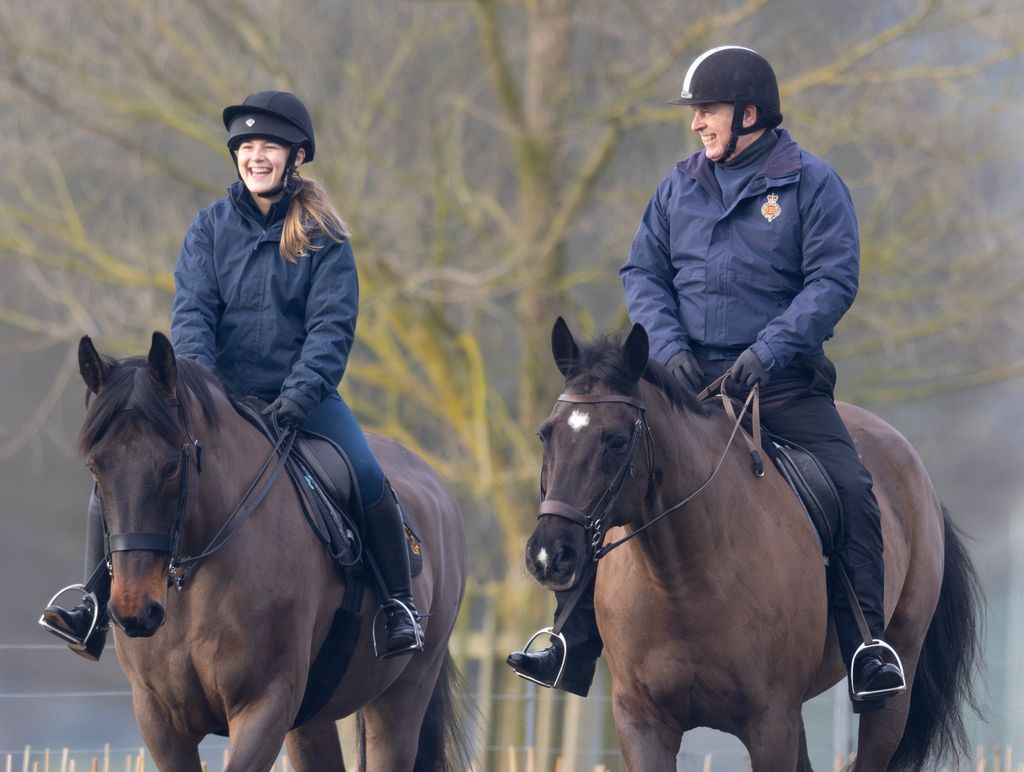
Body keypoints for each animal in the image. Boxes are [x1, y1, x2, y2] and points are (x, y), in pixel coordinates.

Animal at [74, 331, 468, 769]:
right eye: (95, 468)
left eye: (171, 466)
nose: (134, 610)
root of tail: (437, 489)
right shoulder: (159, 718)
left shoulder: (264, 706)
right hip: (311, 720)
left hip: (402, 700)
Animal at [524, 315, 978, 765]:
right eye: (546, 434)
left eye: (617, 441)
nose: (549, 556)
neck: (679, 581)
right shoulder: (641, 724)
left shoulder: (770, 723)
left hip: (892, 683)